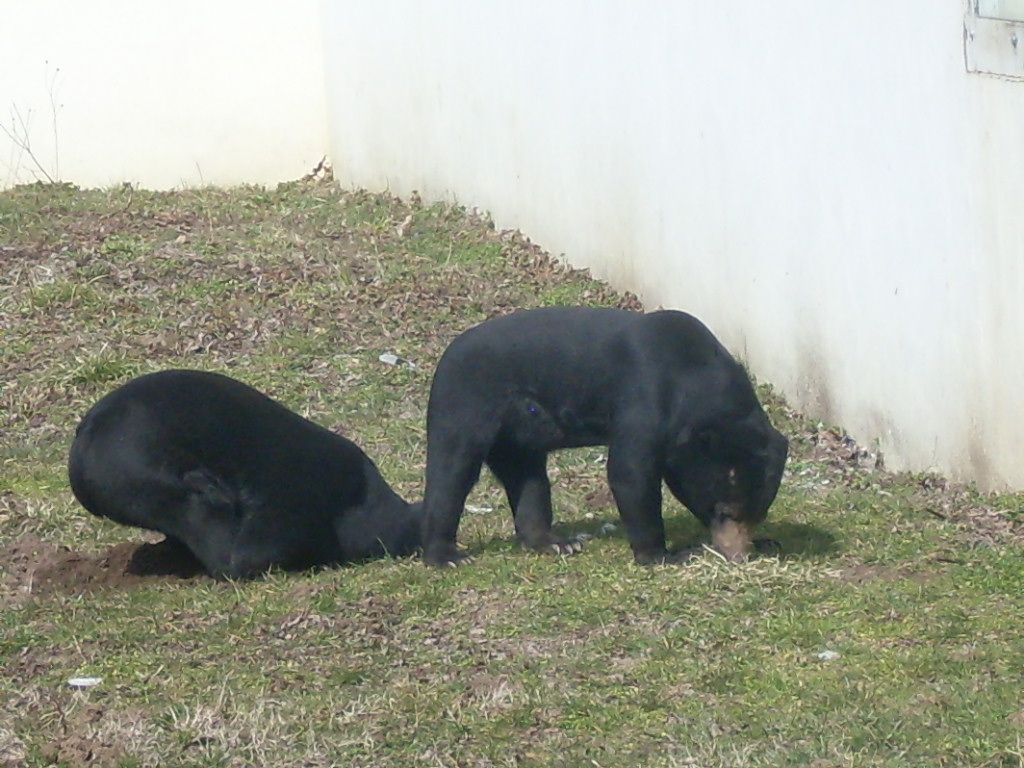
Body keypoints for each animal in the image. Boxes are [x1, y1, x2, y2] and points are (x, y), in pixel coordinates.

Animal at [419, 307, 788, 567]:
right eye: (723, 510)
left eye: (758, 512)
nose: (738, 556)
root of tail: (446, 353)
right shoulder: (644, 399)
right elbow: (630, 472)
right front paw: (665, 556)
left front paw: (766, 540)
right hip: (465, 400)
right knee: (452, 471)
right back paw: (448, 557)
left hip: (518, 435)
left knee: (529, 478)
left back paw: (555, 542)